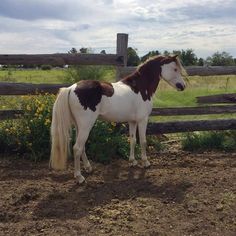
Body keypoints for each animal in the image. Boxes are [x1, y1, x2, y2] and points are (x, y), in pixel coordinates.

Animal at [49, 54, 186, 183]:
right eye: (175, 69)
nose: (182, 86)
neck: (140, 87)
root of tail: (71, 88)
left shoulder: (132, 121)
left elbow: (133, 140)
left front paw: (132, 161)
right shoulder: (142, 120)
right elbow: (143, 141)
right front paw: (146, 162)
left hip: (79, 126)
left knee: (81, 147)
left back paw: (88, 168)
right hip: (86, 125)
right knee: (77, 148)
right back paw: (79, 177)